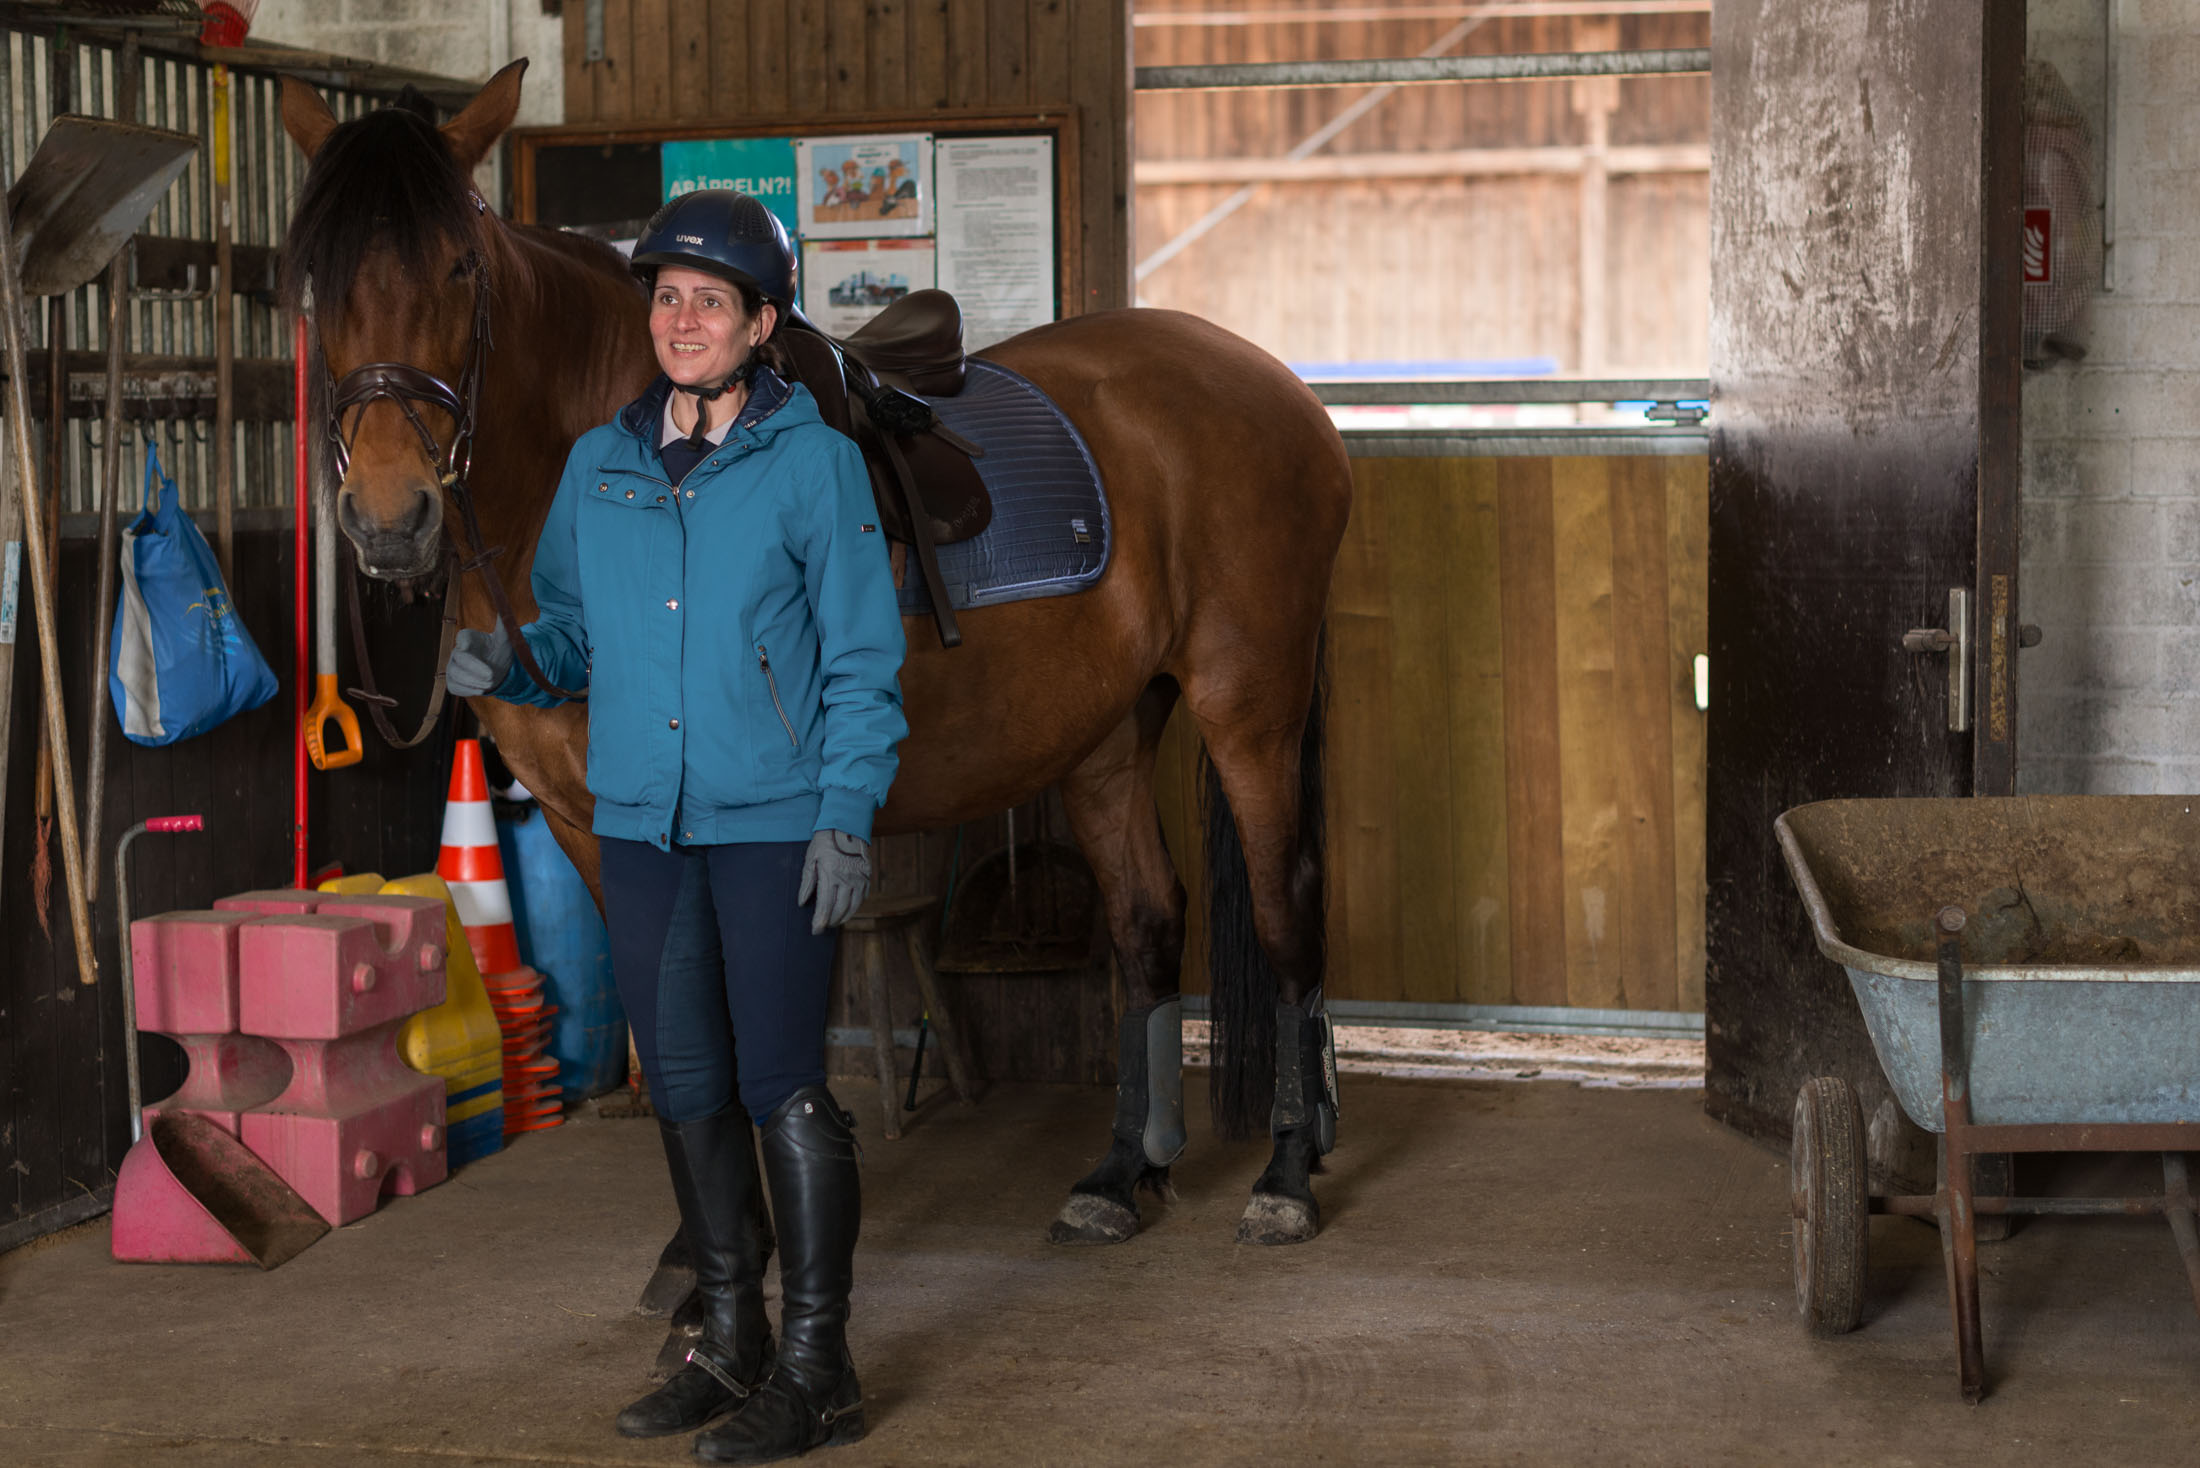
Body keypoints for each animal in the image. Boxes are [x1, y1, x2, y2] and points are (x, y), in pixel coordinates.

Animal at [283, 63, 1346, 1250]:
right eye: (318, 279)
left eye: (460, 267)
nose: (390, 519)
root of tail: (1273, 385)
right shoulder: (593, 829)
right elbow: (674, 1034)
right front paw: (706, 1249)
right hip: (1106, 732)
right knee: (1145, 923)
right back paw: (1123, 1171)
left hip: (1248, 706)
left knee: (1285, 909)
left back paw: (1287, 1172)